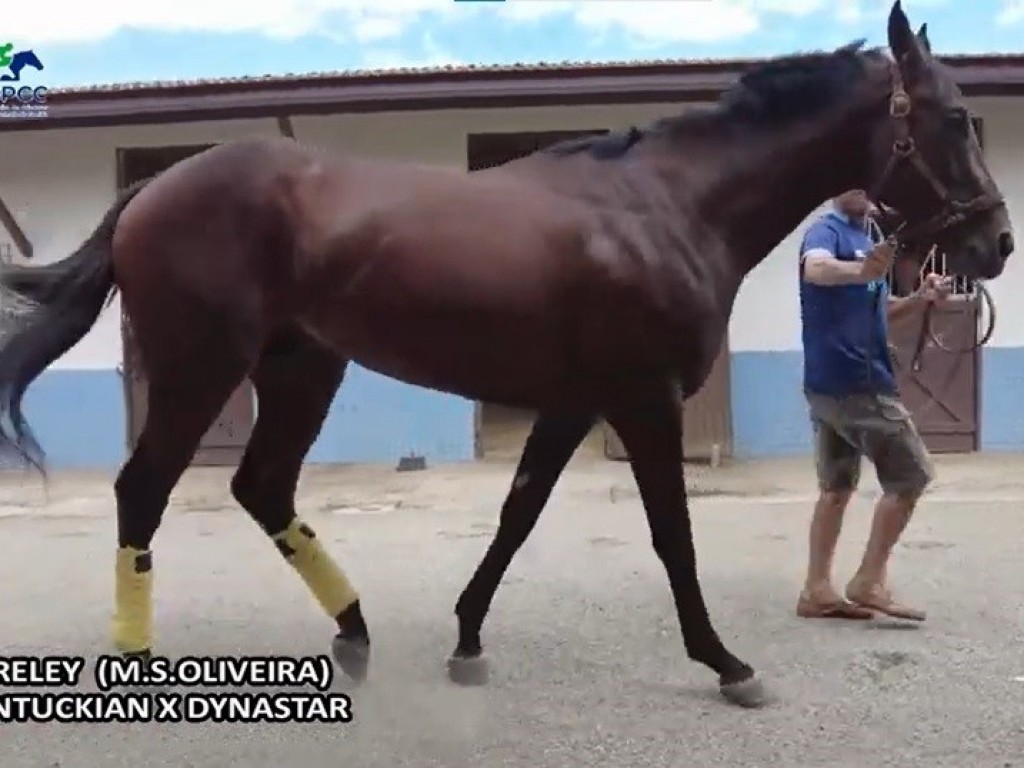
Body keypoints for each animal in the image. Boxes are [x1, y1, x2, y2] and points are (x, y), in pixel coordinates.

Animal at [0, 1, 1011, 708]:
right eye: (953, 117)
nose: (995, 243)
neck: (668, 208)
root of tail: (153, 190)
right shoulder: (642, 399)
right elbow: (671, 536)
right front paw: (725, 662)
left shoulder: (574, 402)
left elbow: (518, 516)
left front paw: (467, 640)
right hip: (201, 366)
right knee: (145, 491)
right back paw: (140, 656)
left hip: (302, 367)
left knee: (263, 488)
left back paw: (355, 632)